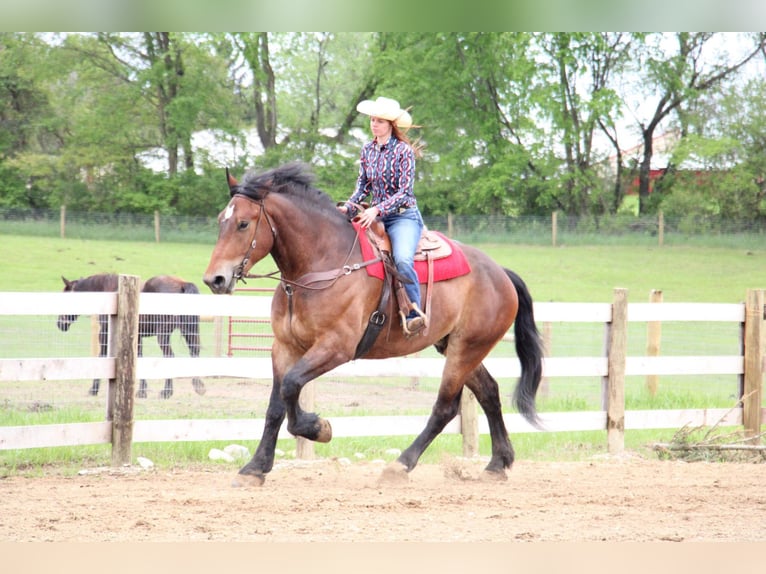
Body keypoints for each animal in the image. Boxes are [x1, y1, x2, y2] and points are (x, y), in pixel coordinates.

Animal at [56, 274, 206, 400]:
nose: (60, 324)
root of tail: (182, 284)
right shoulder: (137, 338)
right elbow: (139, 358)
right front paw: (142, 391)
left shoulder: (105, 336)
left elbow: (102, 357)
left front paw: (93, 389)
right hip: (188, 332)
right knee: (194, 352)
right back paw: (198, 386)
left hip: (163, 336)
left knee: (170, 357)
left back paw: (167, 392)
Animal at [201, 161, 544, 486]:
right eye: (220, 220)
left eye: (243, 223)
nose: (214, 279)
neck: (323, 264)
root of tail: (500, 272)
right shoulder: (284, 347)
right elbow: (276, 405)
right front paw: (255, 467)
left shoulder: (336, 347)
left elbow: (291, 386)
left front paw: (318, 428)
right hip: (456, 346)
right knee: (489, 393)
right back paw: (497, 463)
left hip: (466, 349)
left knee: (445, 408)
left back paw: (400, 465)